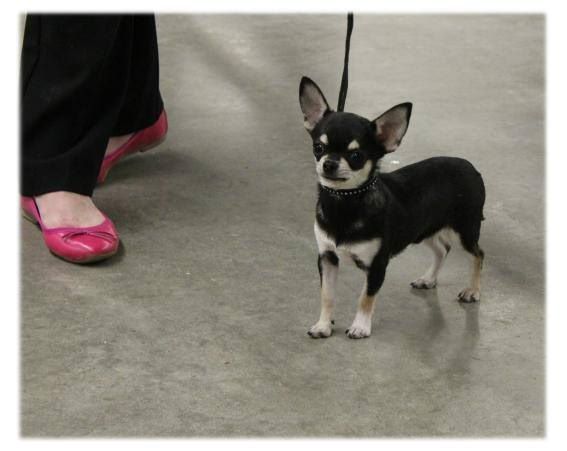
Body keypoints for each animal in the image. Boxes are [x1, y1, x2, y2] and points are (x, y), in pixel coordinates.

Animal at [300, 77, 486, 340]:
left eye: (356, 155)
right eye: (318, 147)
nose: (329, 164)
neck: (345, 201)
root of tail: (470, 166)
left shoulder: (378, 265)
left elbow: (366, 297)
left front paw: (360, 327)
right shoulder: (327, 258)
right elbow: (327, 295)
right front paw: (323, 325)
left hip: (465, 231)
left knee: (478, 254)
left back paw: (472, 290)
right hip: (424, 230)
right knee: (443, 248)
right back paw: (428, 279)